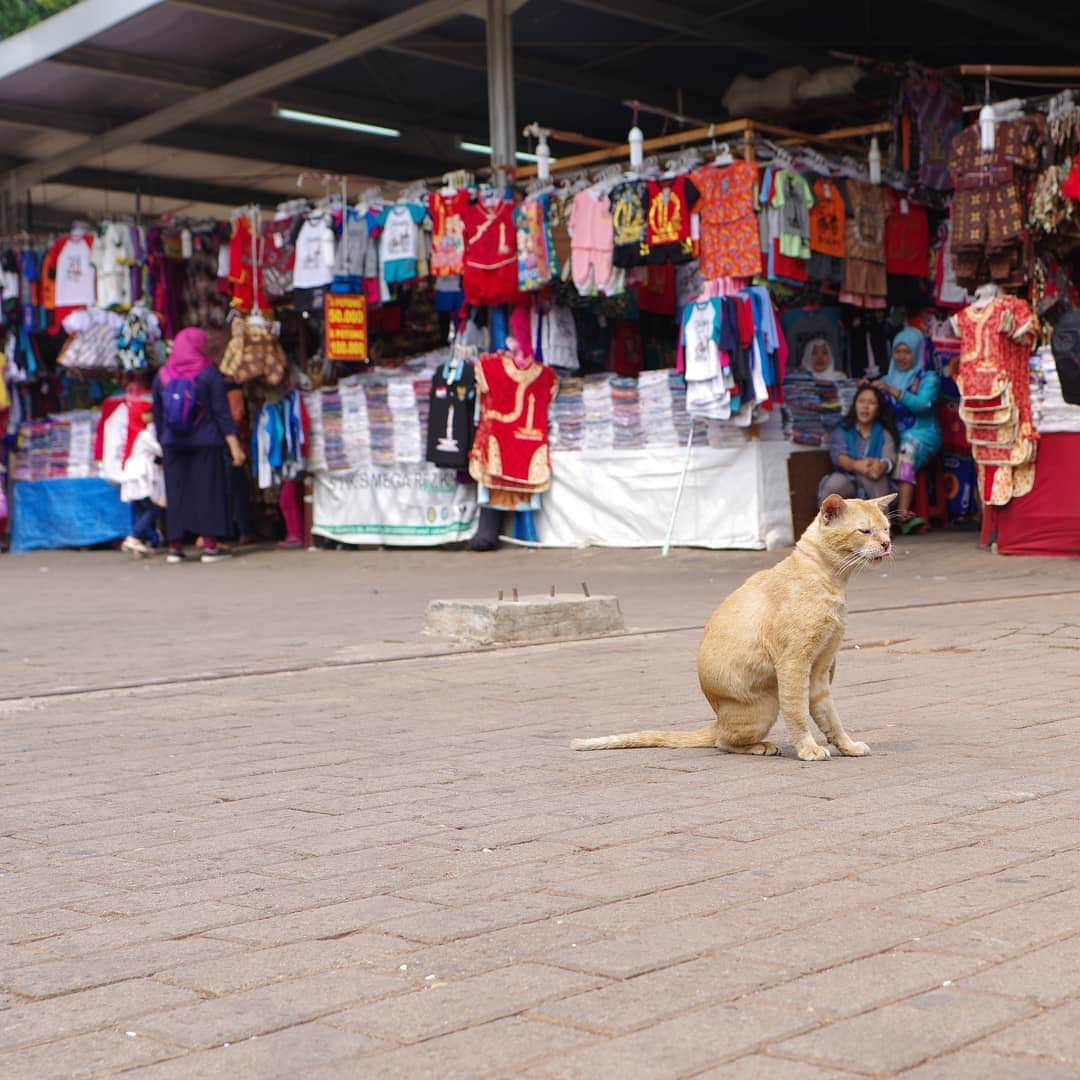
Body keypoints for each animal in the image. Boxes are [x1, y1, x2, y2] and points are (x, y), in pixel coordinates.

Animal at [565, 494, 894, 760]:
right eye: (865, 531)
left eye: (886, 528)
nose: (887, 544)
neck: (831, 581)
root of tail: (718, 718)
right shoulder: (794, 664)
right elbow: (798, 713)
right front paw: (808, 750)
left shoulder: (821, 668)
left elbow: (830, 717)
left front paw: (847, 747)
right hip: (767, 706)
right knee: (723, 742)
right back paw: (761, 747)